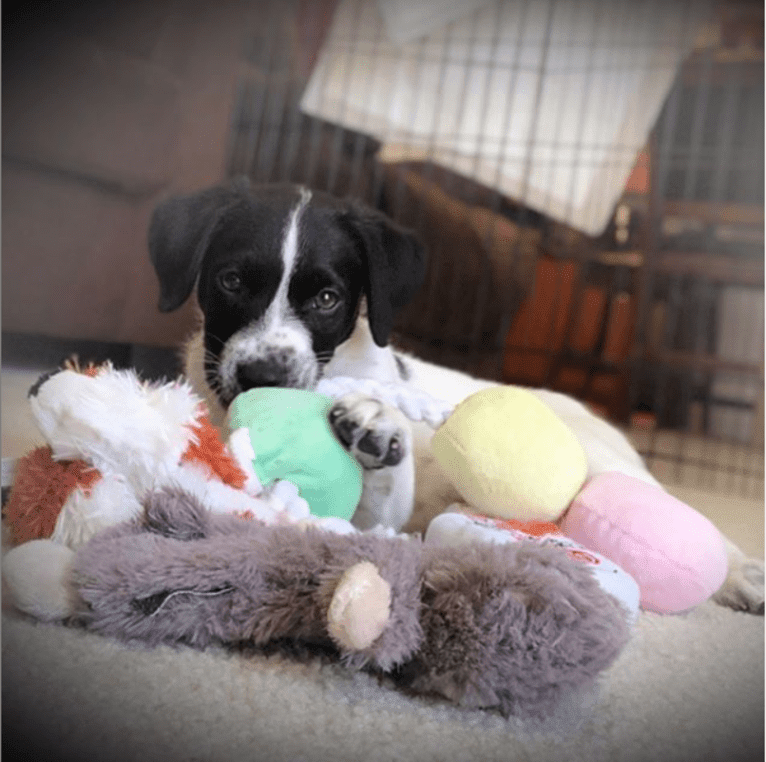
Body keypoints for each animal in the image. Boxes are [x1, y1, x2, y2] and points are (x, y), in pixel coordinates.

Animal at [148, 177, 760, 612]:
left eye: (326, 298)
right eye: (230, 281)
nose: (262, 376)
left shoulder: (383, 514)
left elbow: (382, 481)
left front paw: (375, 422)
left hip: (602, 468)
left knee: (687, 523)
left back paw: (743, 574)